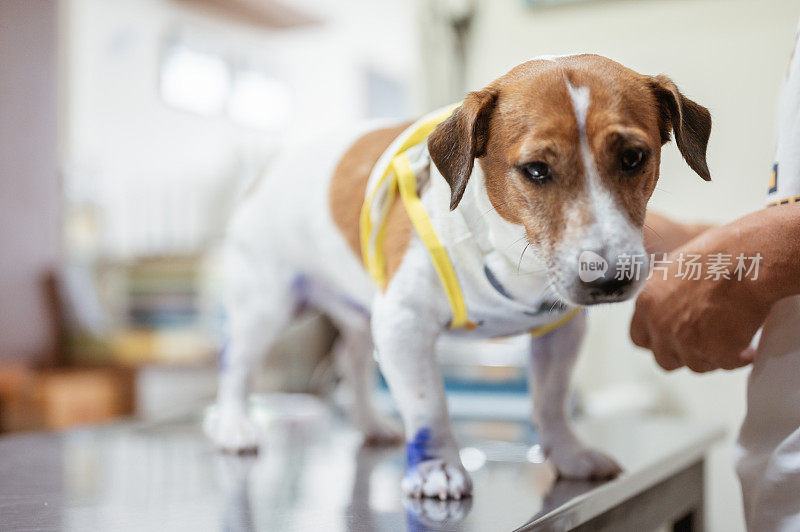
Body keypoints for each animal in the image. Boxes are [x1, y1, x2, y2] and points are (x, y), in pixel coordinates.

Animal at [203, 53, 708, 498]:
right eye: (536, 170)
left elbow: (551, 400)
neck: (508, 255)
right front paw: (437, 468)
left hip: (360, 314)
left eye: (633, 158)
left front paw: (568, 454)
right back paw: (234, 426)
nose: (608, 279)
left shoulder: (560, 331)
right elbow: (429, 406)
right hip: (265, 308)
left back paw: (371, 423)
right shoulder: (404, 325)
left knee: (351, 362)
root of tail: (269, 167)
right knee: (237, 365)